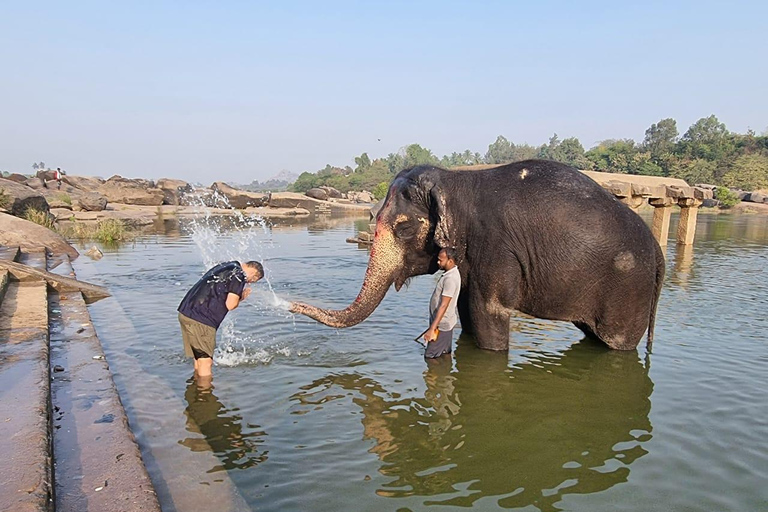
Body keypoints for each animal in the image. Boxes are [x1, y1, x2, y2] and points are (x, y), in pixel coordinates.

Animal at [290, 160, 664, 352]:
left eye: (404, 229)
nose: (289, 305)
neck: (456, 180)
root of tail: (659, 253)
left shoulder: (497, 247)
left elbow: (488, 313)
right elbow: (465, 311)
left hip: (628, 290)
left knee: (617, 345)